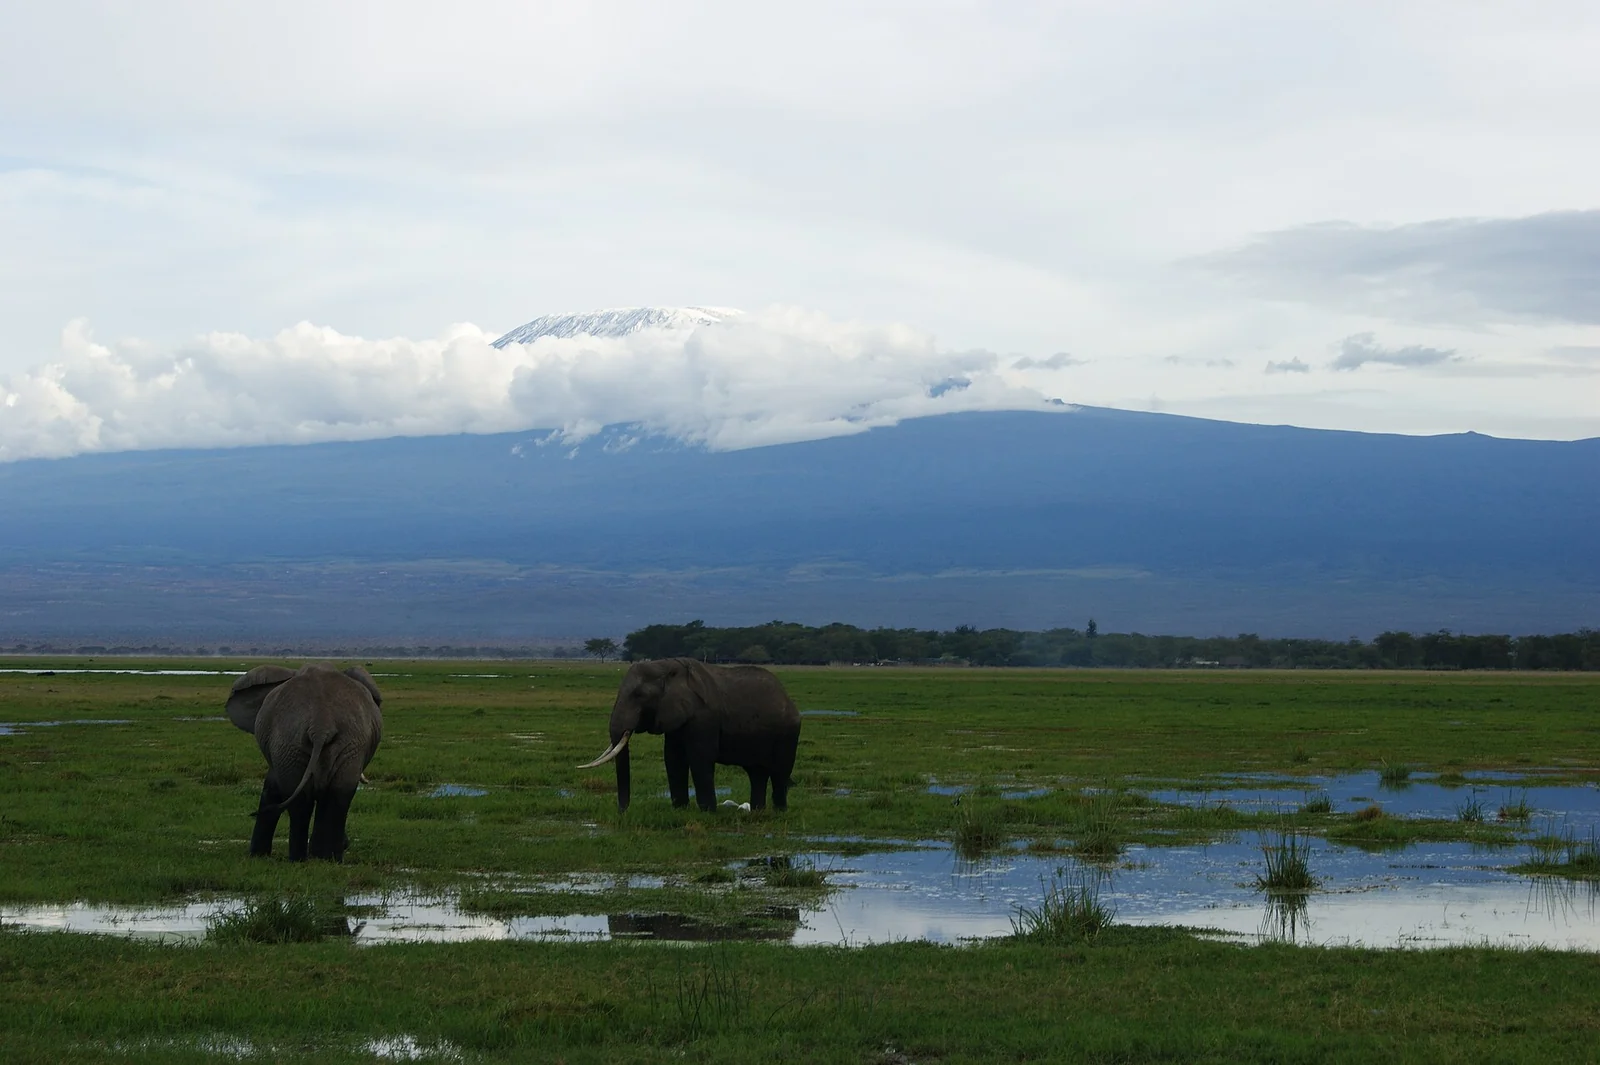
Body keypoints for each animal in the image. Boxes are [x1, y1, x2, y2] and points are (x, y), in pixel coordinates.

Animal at [225, 663, 383, 862]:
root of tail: (321, 724)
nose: (347, 843)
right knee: (332, 796)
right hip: (312, 744)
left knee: (315, 799)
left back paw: (309, 859)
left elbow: (272, 788)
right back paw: (321, 859)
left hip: (306, 744)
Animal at [578, 658, 801, 814]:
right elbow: (673, 758)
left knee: (779, 772)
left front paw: (708, 813)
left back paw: (779, 811)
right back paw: (757, 811)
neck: (666, 666)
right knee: (757, 773)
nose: (622, 812)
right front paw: (680, 809)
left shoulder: (704, 716)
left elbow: (700, 757)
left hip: (788, 733)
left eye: (639, 695)